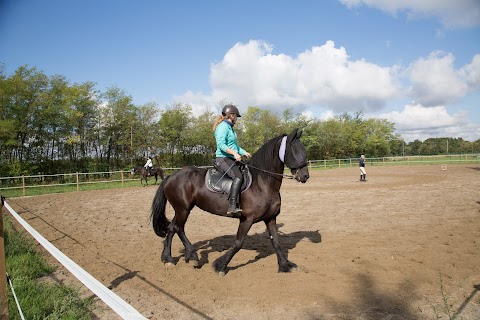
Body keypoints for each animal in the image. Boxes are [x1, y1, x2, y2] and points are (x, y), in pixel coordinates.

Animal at [150, 128, 312, 276]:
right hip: (183, 209)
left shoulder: (271, 218)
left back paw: (168, 258)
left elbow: (276, 242)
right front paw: (220, 265)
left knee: (172, 228)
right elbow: (238, 243)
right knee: (179, 228)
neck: (262, 183)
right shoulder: (247, 219)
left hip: (180, 209)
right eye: (295, 151)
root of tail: (171, 176)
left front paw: (285, 265)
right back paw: (193, 256)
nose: (305, 176)